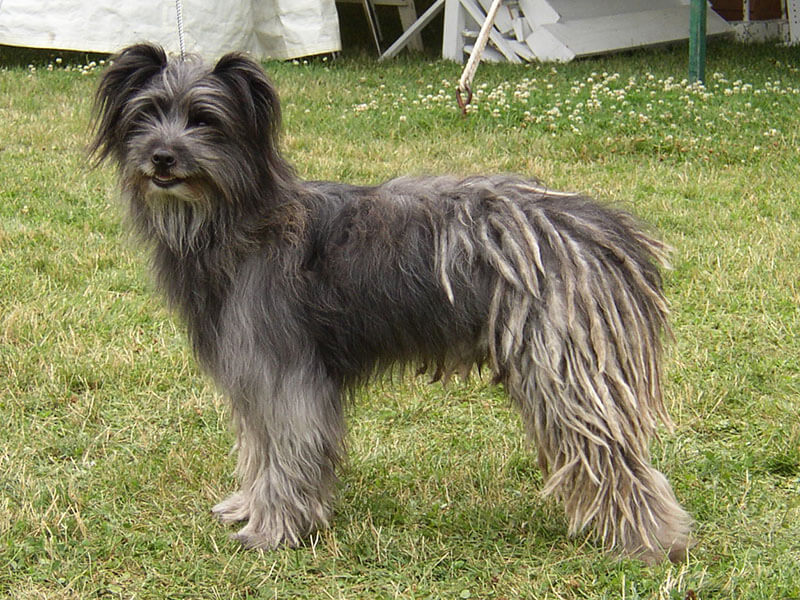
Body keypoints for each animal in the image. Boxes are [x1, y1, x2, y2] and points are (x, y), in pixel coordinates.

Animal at [90, 43, 692, 564]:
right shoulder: (252, 377)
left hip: (569, 374)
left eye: (205, 119)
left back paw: (650, 543)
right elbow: (259, 448)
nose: (162, 158)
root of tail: (607, 232)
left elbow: (287, 452)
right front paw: (249, 507)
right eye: (146, 114)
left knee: (618, 460)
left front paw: (274, 529)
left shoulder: (286, 376)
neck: (237, 224)